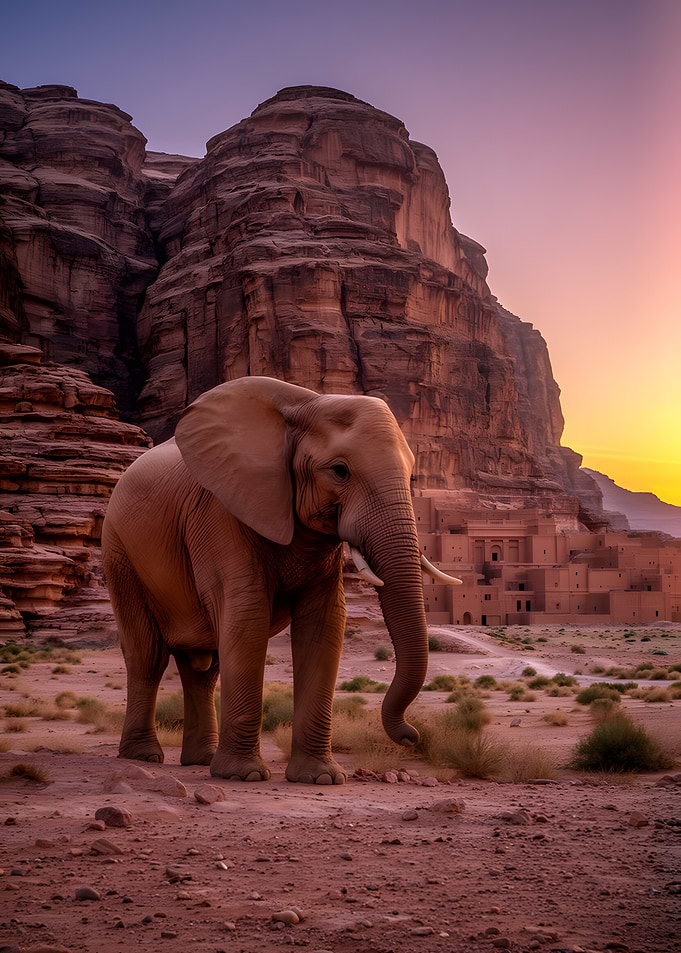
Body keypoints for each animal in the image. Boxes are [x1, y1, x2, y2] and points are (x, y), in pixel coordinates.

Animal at [102, 376, 461, 784]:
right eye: (340, 471)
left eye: (413, 475)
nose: (410, 736)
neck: (307, 404)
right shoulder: (221, 512)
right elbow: (247, 614)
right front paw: (244, 776)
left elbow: (325, 622)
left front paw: (321, 778)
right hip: (120, 553)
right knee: (148, 655)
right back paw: (144, 756)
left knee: (203, 669)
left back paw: (200, 761)